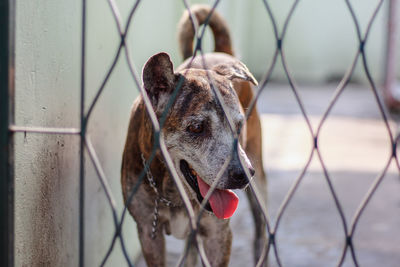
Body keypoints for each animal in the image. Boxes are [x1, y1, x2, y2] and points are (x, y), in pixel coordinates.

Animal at [120, 4, 268, 267]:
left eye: (238, 126)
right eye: (197, 128)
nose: (243, 174)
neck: (173, 191)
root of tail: (221, 52)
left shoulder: (219, 234)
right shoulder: (148, 233)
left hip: (258, 178)